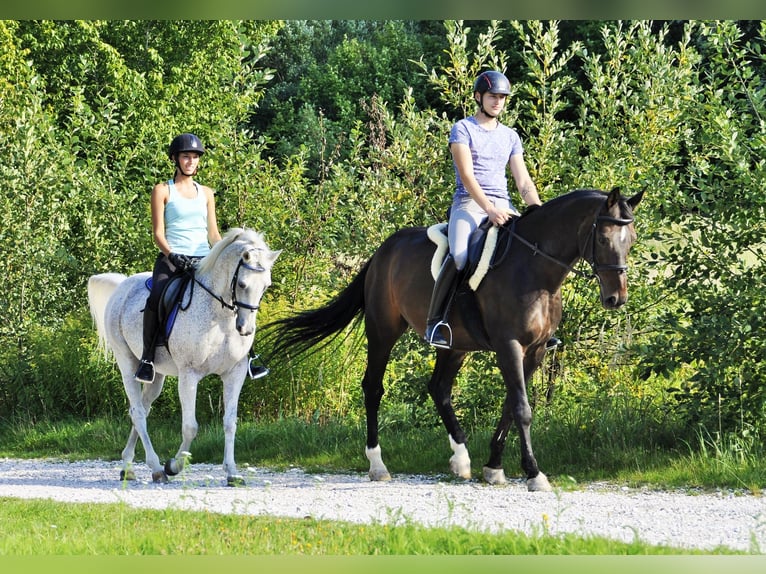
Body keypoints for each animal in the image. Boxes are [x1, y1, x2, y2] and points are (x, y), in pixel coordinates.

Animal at [89, 228, 282, 486]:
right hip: (126, 362)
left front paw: (232, 472)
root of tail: (123, 285)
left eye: (266, 286)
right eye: (242, 284)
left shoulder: (235, 373)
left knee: (141, 410)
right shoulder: (189, 375)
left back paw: (128, 466)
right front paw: (174, 465)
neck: (219, 316)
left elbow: (230, 423)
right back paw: (157, 468)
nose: (245, 329)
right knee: (138, 413)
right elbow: (190, 427)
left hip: (156, 374)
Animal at [268, 188, 644, 490]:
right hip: (382, 330)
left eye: (632, 239)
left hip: (455, 344)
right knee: (374, 388)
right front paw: (534, 474)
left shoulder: (535, 351)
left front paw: (493, 467)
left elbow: (510, 406)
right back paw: (377, 464)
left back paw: (461, 460)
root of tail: (384, 250)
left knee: (439, 388)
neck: (535, 271)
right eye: (604, 238)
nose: (616, 298)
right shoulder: (509, 345)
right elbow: (522, 409)